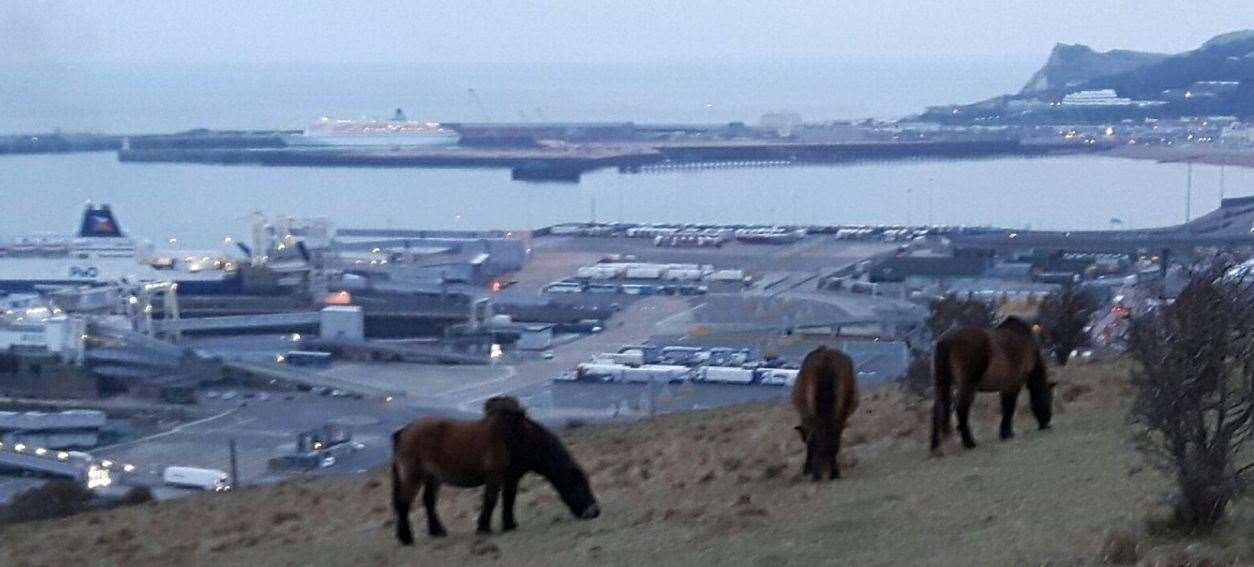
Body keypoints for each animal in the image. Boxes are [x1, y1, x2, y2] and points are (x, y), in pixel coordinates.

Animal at [388, 396, 599, 541]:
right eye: (579, 485)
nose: (595, 512)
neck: (517, 438)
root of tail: (402, 432)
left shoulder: (511, 477)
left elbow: (509, 499)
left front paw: (509, 524)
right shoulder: (495, 476)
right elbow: (491, 500)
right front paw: (484, 528)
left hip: (432, 477)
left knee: (428, 502)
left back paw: (437, 532)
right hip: (414, 476)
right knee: (403, 503)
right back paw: (407, 538)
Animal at [787, 343, 857, 481]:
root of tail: (826, 359)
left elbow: (811, 443)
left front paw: (808, 469)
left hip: (814, 413)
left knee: (817, 438)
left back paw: (818, 474)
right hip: (838, 412)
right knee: (832, 439)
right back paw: (833, 473)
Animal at [932, 314, 1058, 456]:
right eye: (1048, 399)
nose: (1047, 424)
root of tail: (947, 339)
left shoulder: (1005, 387)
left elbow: (1005, 407)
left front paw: (1006, 432)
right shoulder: (1013, 385)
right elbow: (1009, 408)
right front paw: (1006, 433)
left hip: (942, 383)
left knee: (937, 409)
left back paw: (935, 447)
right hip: (967, 384)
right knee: (961, 407)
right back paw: (969, 443)